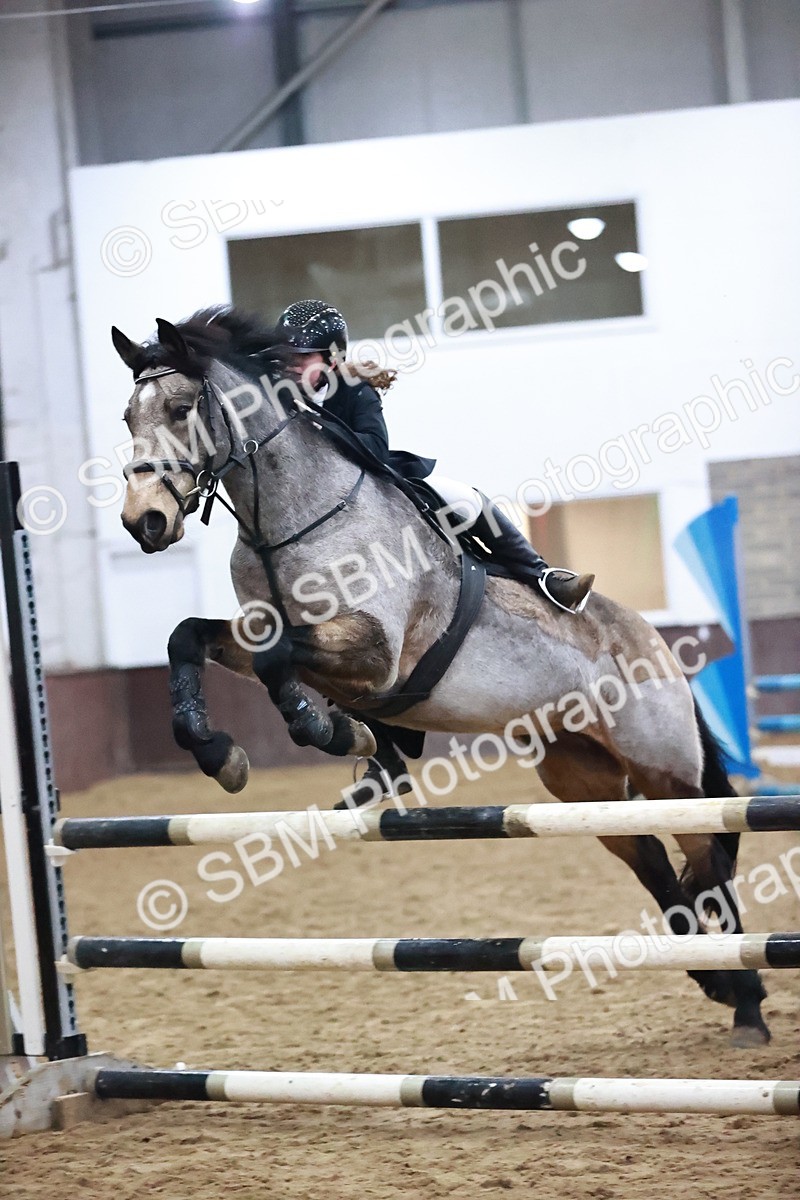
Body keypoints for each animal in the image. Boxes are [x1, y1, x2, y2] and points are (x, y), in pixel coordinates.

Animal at [111, 306, 769, 1047]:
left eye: (183, 407)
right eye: (128, 416)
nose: (144, 522)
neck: (286, 518)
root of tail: (655, 642)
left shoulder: (375, 653)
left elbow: (286, 666)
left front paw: (329, 731)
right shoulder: (264, 634)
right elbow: (187, 638)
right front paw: (220, 752)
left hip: (665, 774)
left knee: (709, 863)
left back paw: (748, 1004)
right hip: (582, 780)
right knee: (655, 865)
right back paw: (715, 981)